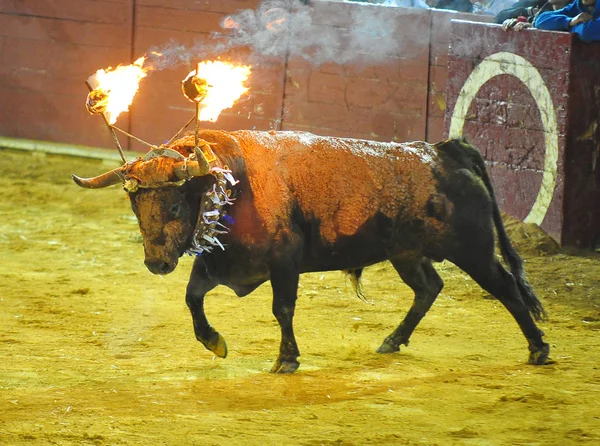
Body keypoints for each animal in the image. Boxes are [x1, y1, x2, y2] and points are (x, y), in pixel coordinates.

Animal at [74, 130, 548, 372]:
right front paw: (214, 341)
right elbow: (192, 297)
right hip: (407, 253)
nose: (156, 263)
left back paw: (538, 349)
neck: (233, 184)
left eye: (174, 206)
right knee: (429, 287)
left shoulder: (284, 263)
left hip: (473, 250)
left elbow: (282, 308)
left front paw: (287, 359)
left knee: (506, 287)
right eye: (135, 206)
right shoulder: (221, 262)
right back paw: (393, 340)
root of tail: (444, 151)